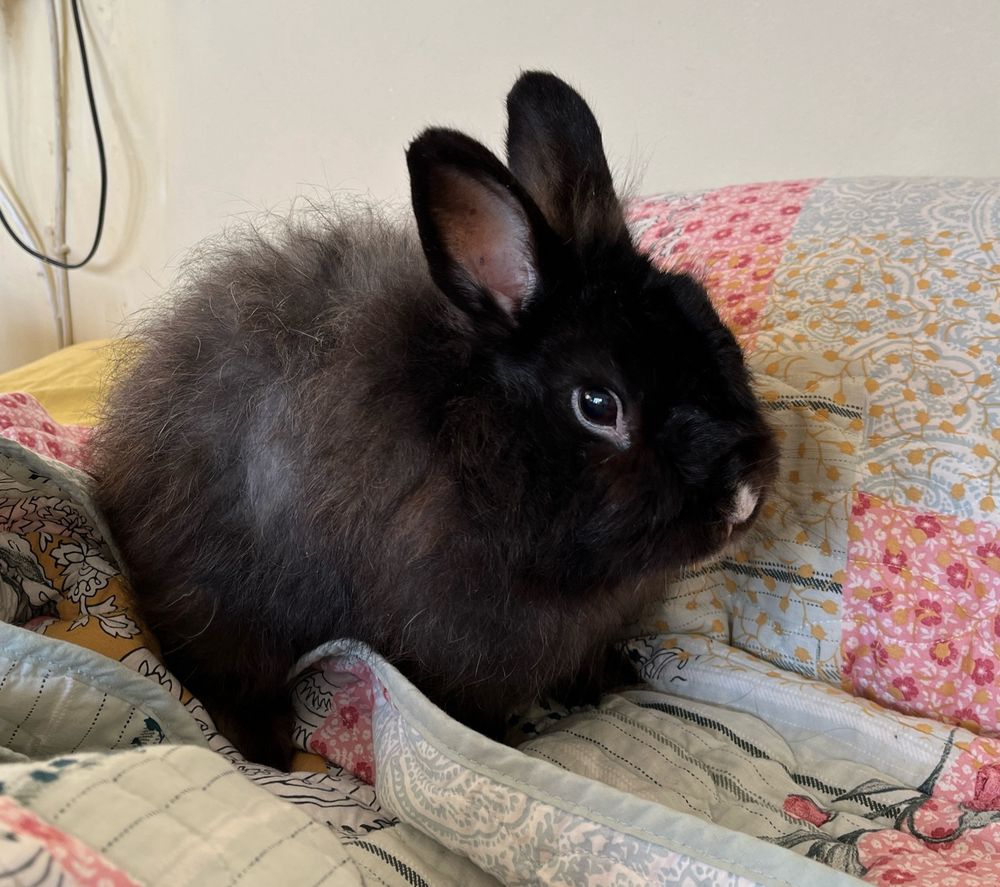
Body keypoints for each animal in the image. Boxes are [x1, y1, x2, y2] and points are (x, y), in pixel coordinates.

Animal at [91, 71, 779, 769]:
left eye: (715, 326)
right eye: (597, 405)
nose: (744, 501)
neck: (477, 440)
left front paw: (609, 685)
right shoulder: (453, 641)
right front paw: (508, 744)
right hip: (228, 606)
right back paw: (269, 752)